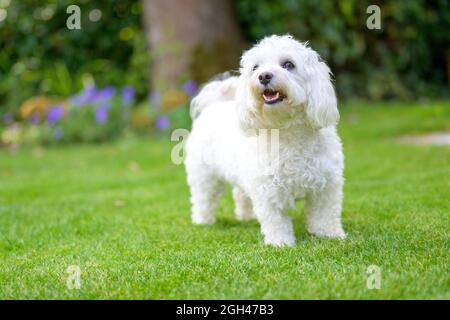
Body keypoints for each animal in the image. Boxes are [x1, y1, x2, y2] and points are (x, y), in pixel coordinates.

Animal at [185, 35, 346, 246]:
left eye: (288, 64)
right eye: (256, 67)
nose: (264, 76)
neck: (287, 130)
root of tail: (214, 105)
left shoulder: (326, 185)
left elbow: (324, 214)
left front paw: (330, 235)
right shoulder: (267, 189)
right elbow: (275, 219)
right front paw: (281, 242)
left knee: (240, 194)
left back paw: (246, 216)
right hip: (204, 174)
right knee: (204, 197)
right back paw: (203, 221)